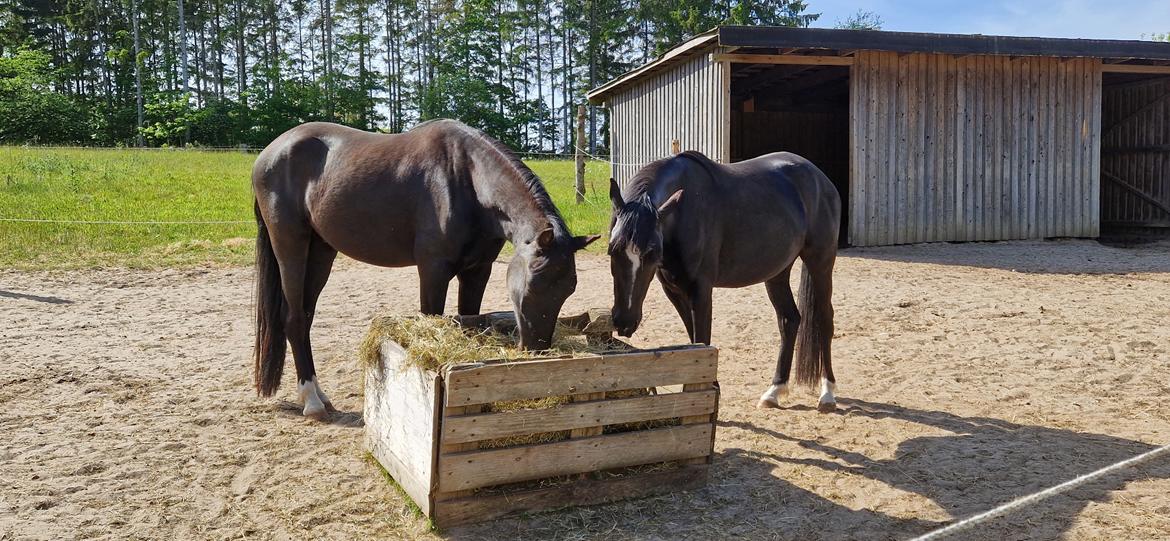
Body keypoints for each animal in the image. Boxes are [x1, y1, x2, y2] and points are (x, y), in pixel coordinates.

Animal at [252, 120, 599, 421]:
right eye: (533, 284)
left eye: (568, 289)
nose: (538, 349)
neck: (467, 179)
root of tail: (270, 152)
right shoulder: (433, 271)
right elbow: (432, 320)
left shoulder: (477, 271)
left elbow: (468, 321)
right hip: (291, 246)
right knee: (294, 318)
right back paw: (311, 401)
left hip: (322, 251)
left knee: (306, 317)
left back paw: (319, 394)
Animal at [603, 149, 842, 412]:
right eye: (612, 250)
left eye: (652, 253)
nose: (625, 321)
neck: (684, 213)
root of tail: (819, 178)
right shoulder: (674, 291)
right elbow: (695, 340)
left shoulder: (701, 290)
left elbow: (702, 338)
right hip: (777, 272)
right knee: (789, 320)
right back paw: (774, 391)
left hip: (821, 262)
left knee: (825, 320)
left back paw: (827, 393)